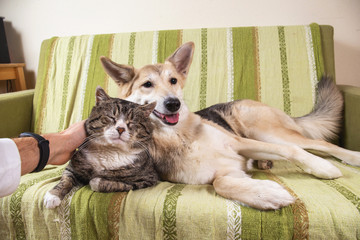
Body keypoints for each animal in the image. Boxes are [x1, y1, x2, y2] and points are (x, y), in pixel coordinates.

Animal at [99, 42, 360, 209]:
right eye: (147, 85)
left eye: (173, 80)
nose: (173, 104)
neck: (178, 135)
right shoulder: (228, 171)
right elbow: (221, 184)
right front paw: (266, 194)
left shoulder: (241, 143)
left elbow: (292, 151)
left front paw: (322, 168)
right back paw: (265, 164)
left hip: (265, 132)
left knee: (316, 144)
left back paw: (350, 157)